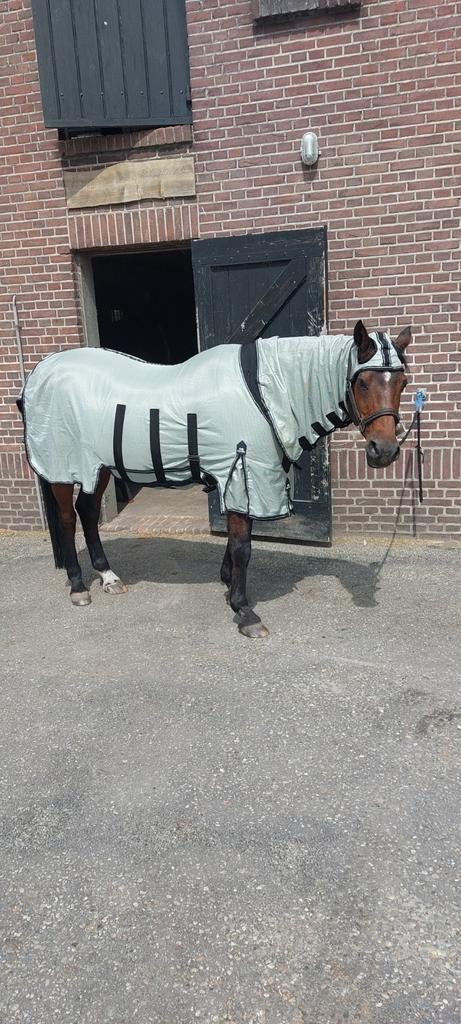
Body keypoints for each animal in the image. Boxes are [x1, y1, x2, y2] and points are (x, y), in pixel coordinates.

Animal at [18, 319, 410, 638]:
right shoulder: (243, 470)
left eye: (403, 382)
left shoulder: (242, 477)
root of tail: (38, 375)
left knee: (87, 512)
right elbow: (242, 546)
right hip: (65, 467)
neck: (265, 390)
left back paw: (108, 576)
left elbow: (236, 541)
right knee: (68, 519)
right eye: (362, 382)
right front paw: (244, 610)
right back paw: (78, 585)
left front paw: (227, 583)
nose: (385, 450)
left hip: (97, 466)